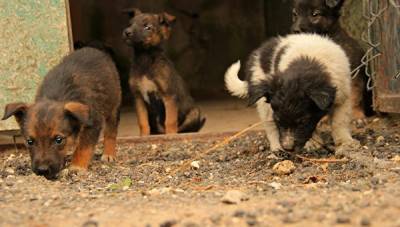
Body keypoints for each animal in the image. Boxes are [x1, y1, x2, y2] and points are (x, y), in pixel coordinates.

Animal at [1, 47, 121, 179]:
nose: (42, 170)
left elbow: (83, 147)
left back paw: (109, 153)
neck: (56, 96)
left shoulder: (93, 123)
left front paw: (77, 166)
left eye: (59, 140)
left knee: (111, 130)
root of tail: (93, 48)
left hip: (113, 105)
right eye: (29, 141)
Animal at [122, 8, 205, 136]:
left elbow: (170, 121)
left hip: (195, 112)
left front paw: (170, 135)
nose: (127, 32)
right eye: (130, 24)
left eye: (148, 27)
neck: (145, 58)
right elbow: (143, 122)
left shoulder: (169, 96)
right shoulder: (138, 98)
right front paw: (144, 136)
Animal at [225, 33, 360, 153]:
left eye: (302, 121)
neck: (309, 60)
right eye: (279, 120)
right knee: (269, 125)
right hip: (263, 101)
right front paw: (312, 143)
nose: (288, 148)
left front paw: (346, 141)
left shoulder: (343, 97)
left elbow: (340, 122)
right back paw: (277, 148)